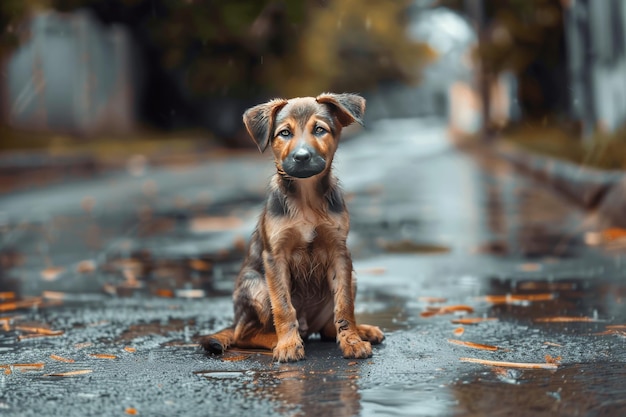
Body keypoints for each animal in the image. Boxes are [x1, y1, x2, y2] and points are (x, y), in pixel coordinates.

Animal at [200, 92, 382, 360]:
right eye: (285, 133)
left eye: (319, 130)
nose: (302, 157)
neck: (307, 200)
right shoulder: (275, 257)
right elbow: (284, 308)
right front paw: (287, 345)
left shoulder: (340, 253)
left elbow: (344, 307)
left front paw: (352, 341)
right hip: (257, 285)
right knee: (243, 334)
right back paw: (279, 340)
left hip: (353, 278)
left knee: (328, 329)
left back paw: (362, 331)